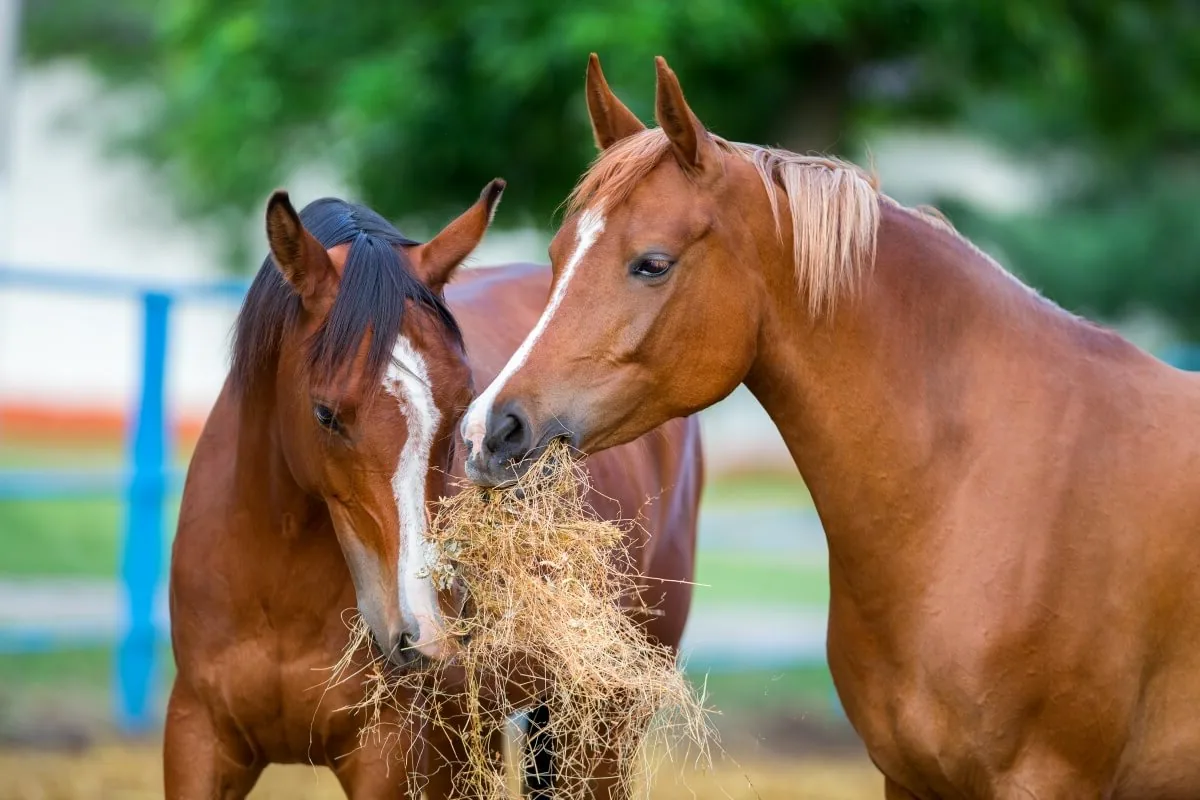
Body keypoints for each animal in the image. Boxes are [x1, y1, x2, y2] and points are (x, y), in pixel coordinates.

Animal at [165, 180, 702, 798]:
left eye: (462, 402)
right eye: (325, 414)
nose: (424, 630)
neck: (276, 590)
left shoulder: (393, 760)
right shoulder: (198, 739)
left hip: (601, 728)